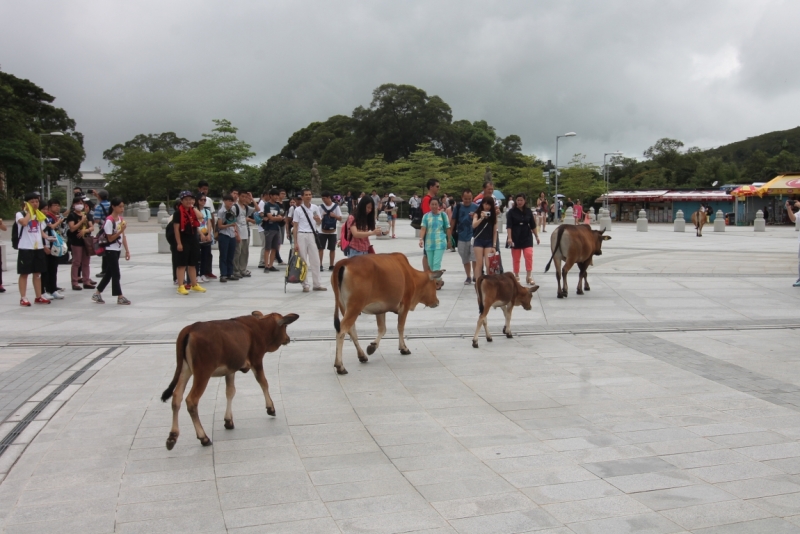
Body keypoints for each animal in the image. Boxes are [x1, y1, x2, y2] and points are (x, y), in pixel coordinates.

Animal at [161, 312, 298, 450]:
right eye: (285, 326)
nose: (288, 338)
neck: (261, 327)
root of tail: (190, 328)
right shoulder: (256, 360)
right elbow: (264, 383)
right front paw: (271, 408)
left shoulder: (231, 369)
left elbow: (230, 391)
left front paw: (228, 421)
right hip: (203, 372)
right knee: (191, 400)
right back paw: (203, 437)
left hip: (185, 369)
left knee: (176, 396)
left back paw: (172, 437)